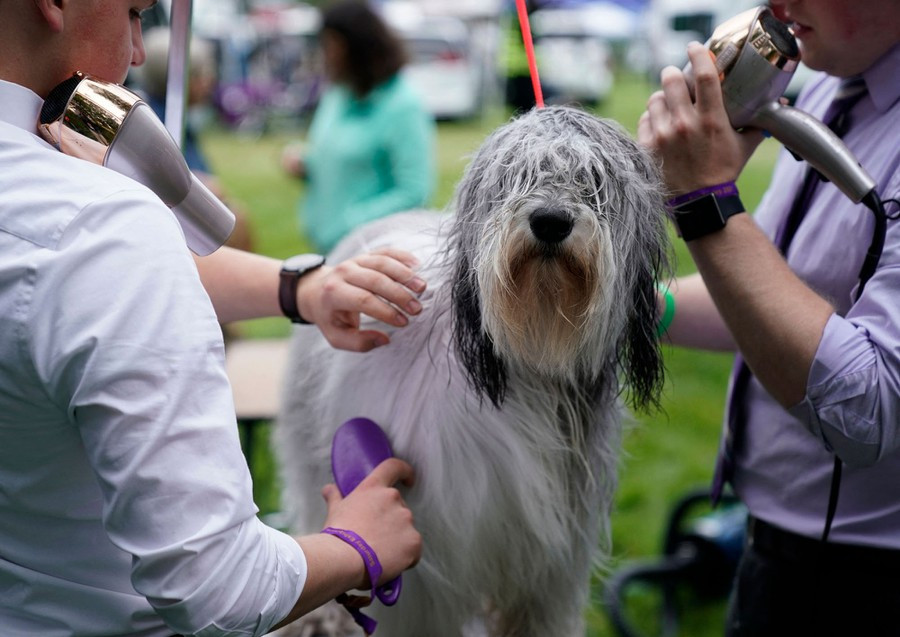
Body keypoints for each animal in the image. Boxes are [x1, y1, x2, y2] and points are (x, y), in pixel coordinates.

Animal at [274, 105, 668, 636]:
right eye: (515, 177)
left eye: (593, 181)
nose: (550, 220)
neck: (530, 358)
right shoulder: (426, 576)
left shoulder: (549, 571)